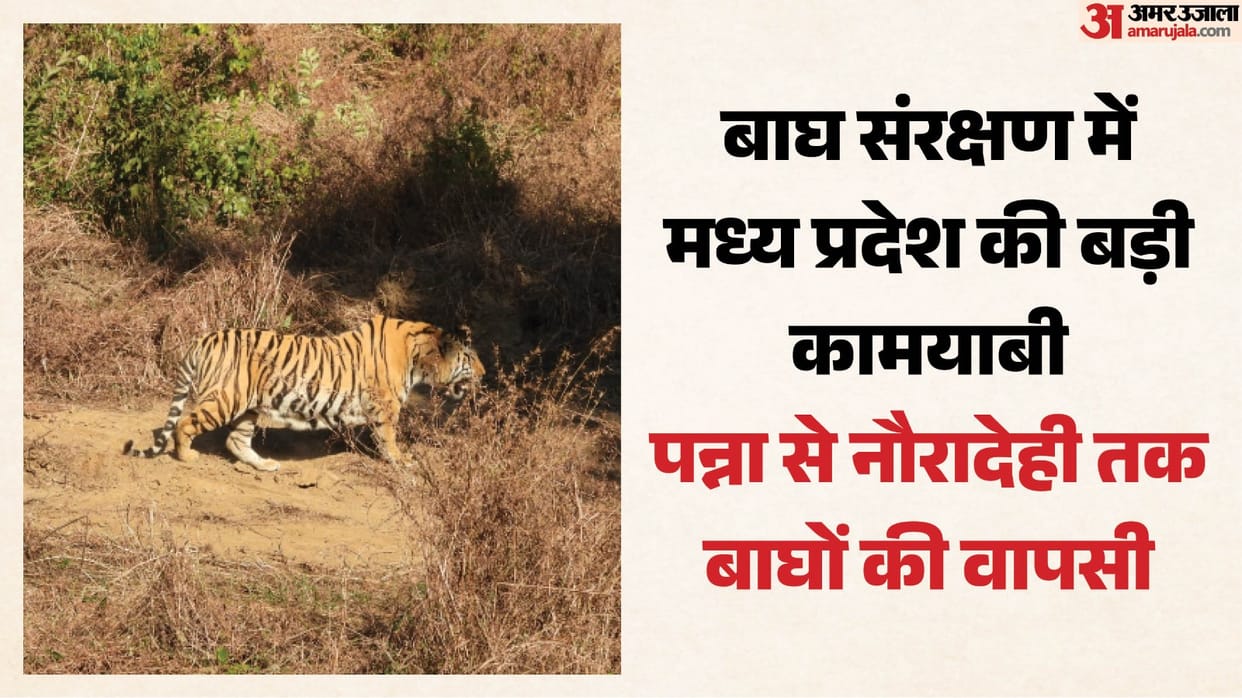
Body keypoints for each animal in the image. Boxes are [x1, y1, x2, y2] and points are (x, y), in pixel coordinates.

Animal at [122, 314, 484, 472]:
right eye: (470, 357)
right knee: (185, 423)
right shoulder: (386, 406)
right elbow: (390, 437)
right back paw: (186, 456)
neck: (420, 357)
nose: (484, 374)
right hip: (227, 398)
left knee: (235, 440)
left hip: (249, 407)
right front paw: (402, 460)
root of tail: (203, 338)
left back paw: (265, 465)